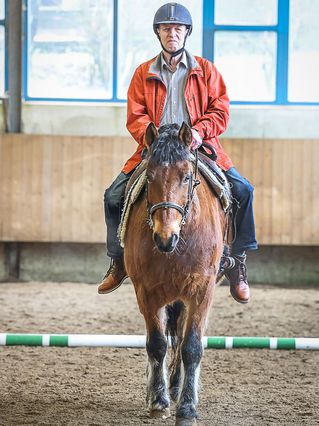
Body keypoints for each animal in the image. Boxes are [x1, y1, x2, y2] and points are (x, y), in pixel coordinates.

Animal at [124, 121, 226, 424]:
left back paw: (178, 387)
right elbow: (156, 343)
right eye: (150, 177)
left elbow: (191, 346)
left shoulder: (202, 290)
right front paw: (158, 401)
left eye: (186, 176)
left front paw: (187, 407)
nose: (164, 237)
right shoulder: (146, 291)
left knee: (180, 340)